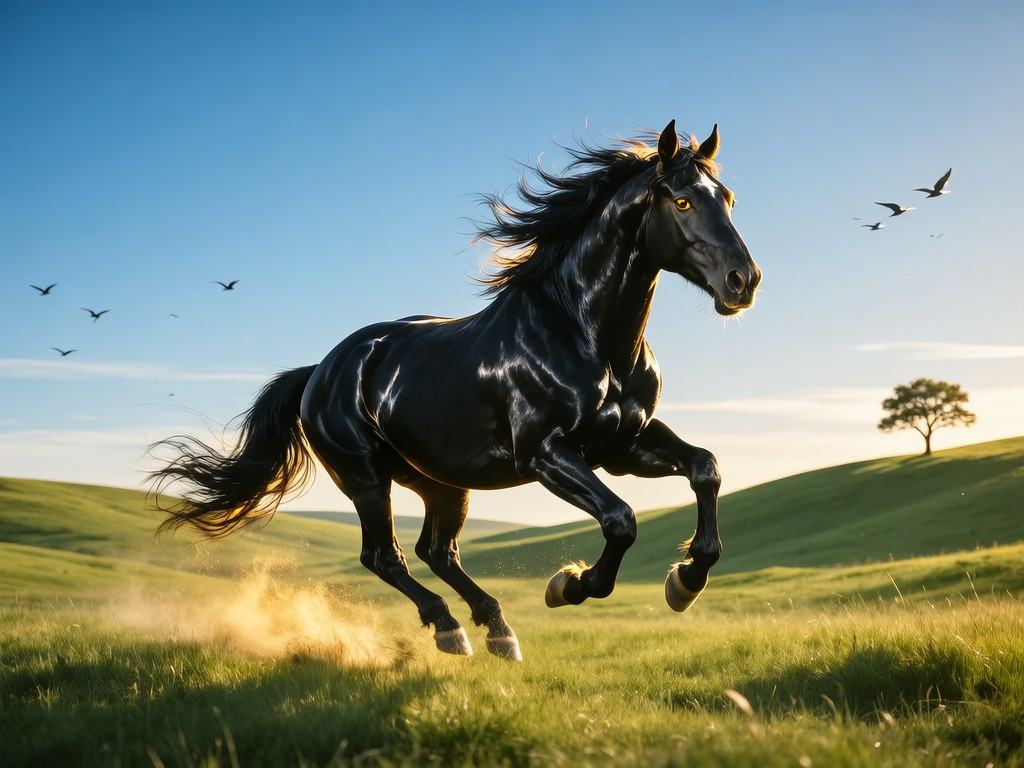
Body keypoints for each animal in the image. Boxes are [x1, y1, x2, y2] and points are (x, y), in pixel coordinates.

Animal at [148, 120, 761, 662]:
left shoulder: (622, 446)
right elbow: (621, 519)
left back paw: (497, 631)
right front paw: (569, 585)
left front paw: (685, 580)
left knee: (435, 551)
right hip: (365, 476)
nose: (744, 281)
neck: (585, 334)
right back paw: (450, 629)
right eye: (682, 202)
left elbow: (705, 468)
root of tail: (319, 370)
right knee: (385, 556)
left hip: (441, 480)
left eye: (727, 198)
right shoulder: (546, 454)